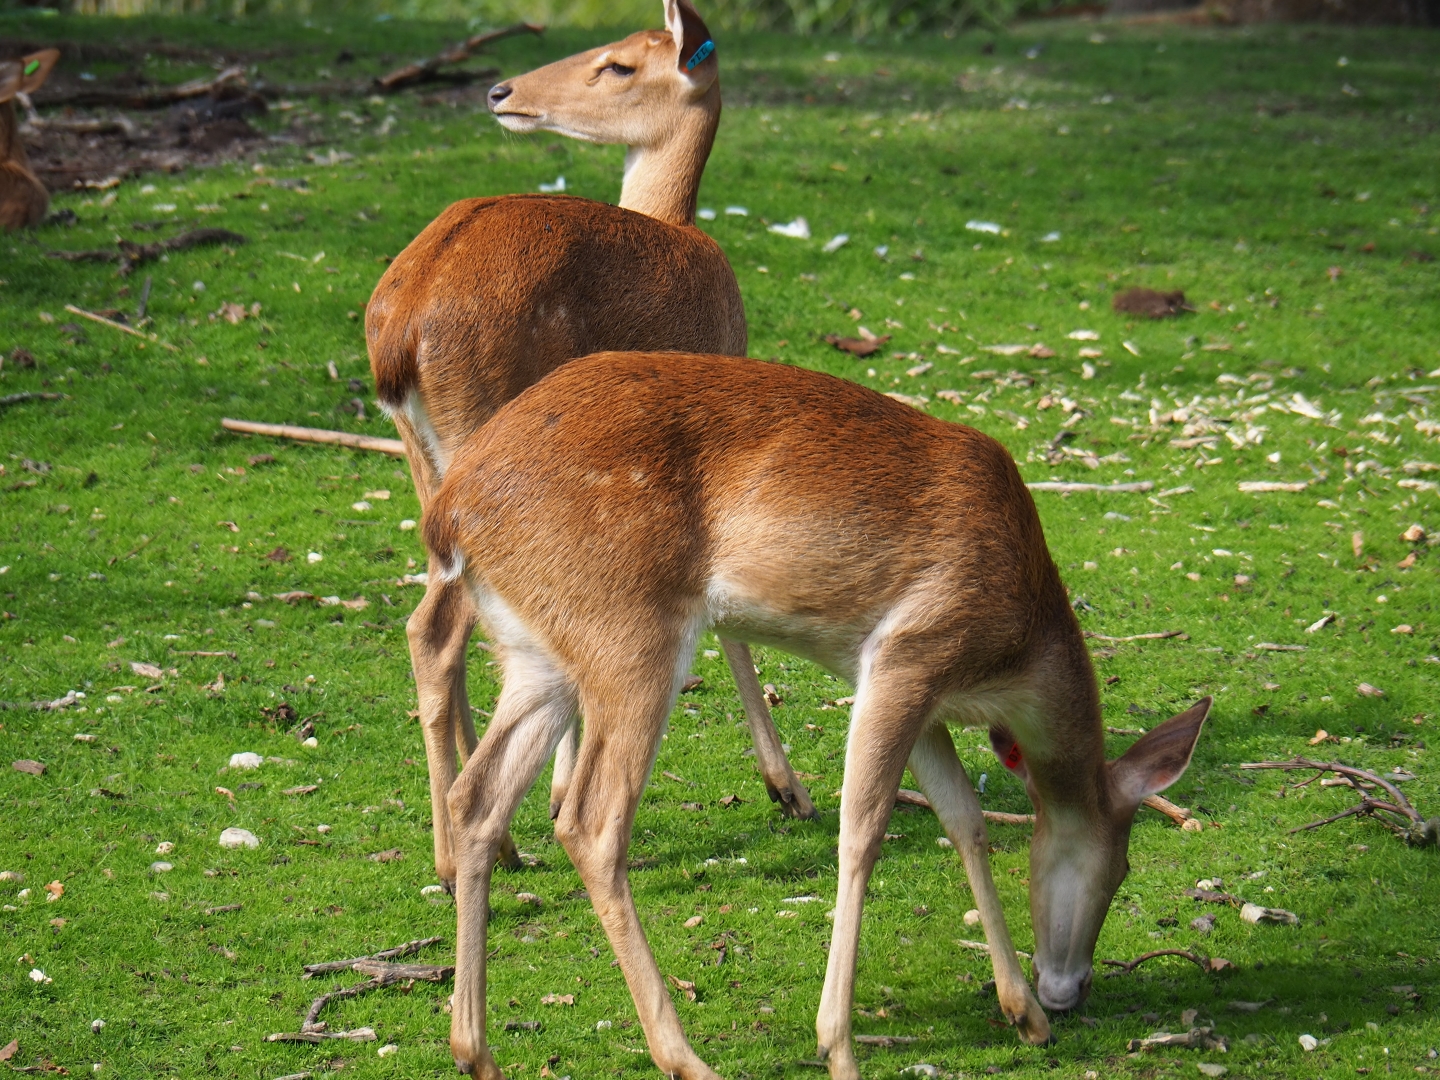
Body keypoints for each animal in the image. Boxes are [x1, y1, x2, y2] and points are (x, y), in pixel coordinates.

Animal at [366, 0, 817, 891]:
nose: (501, 89)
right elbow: (730, 621)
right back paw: (463, 854)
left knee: (442, 623)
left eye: (618, 62)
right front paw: (787, 788)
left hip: (424, 462)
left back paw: (492, 841)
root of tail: (400, 331)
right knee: (438, 630)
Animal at [421, 351, 1211, 1080]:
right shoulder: (909, 653)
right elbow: (863, 829)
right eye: (1122, 867)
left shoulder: (921, 695)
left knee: (478, 797)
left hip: (537, 657)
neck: (1015, 658)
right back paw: (684, 1056)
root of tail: (449, 511)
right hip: (628, 636)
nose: (1070, 990)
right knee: (589, 822)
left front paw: (1022, 1014)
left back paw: (475, 1050)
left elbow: (965, 817)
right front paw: (839, 1046)